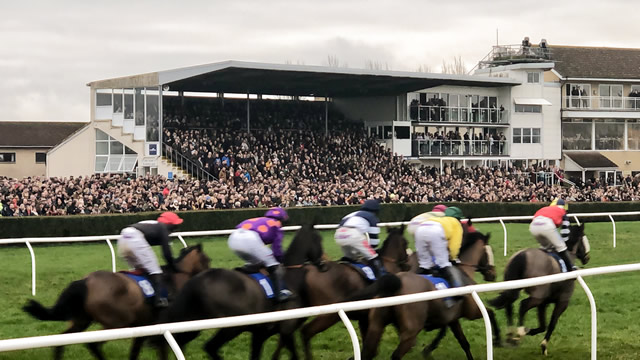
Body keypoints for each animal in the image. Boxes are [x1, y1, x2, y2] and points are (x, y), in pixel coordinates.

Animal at [23, 245, 210, 360]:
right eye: (207, 260)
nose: (210, 274)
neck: (174, 280)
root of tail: (86, 281)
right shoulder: (163, 328)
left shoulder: (143, 327)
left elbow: (135, 353)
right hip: (115, 323)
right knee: (93, 344)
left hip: (81, 321)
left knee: (60, 342)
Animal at [156, 224, 324, 358]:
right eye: (319, 240)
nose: (323, 265)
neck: (290, 277)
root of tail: (197, 280)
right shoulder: (286, 328)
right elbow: (293, 354)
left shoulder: (261, 333)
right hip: (232, 327)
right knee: (210, 346)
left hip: (193, 322)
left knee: (181, 341)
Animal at [284, 226, 410, 360]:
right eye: (406, 242)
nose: (407, 264)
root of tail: (308, 269)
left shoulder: (364, 317)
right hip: (328, 315)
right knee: (306, 332)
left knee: (289, 332)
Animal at [362, 231, 498, 360]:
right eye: (489, 252)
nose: (492, 275)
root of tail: (395, 283)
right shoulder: (471, 312)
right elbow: (490, 313)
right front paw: (497, 339)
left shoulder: (451, 318)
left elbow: (462, 341)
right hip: (411, 332)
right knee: (396, 355)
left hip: (376, 325)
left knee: (368, 352)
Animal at [490, 222, 592, 354]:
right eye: (584, 238)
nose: (587, 258)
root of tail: (522, 255)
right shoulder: (562, 301)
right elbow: (552, 323)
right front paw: (543, 345)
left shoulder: (544, 303)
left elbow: (543, 326)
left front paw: (530, 331)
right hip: (537, 295)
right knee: (523, 305)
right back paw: (518, 333)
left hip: (514, 288)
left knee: (509, 306)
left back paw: (510, 335)